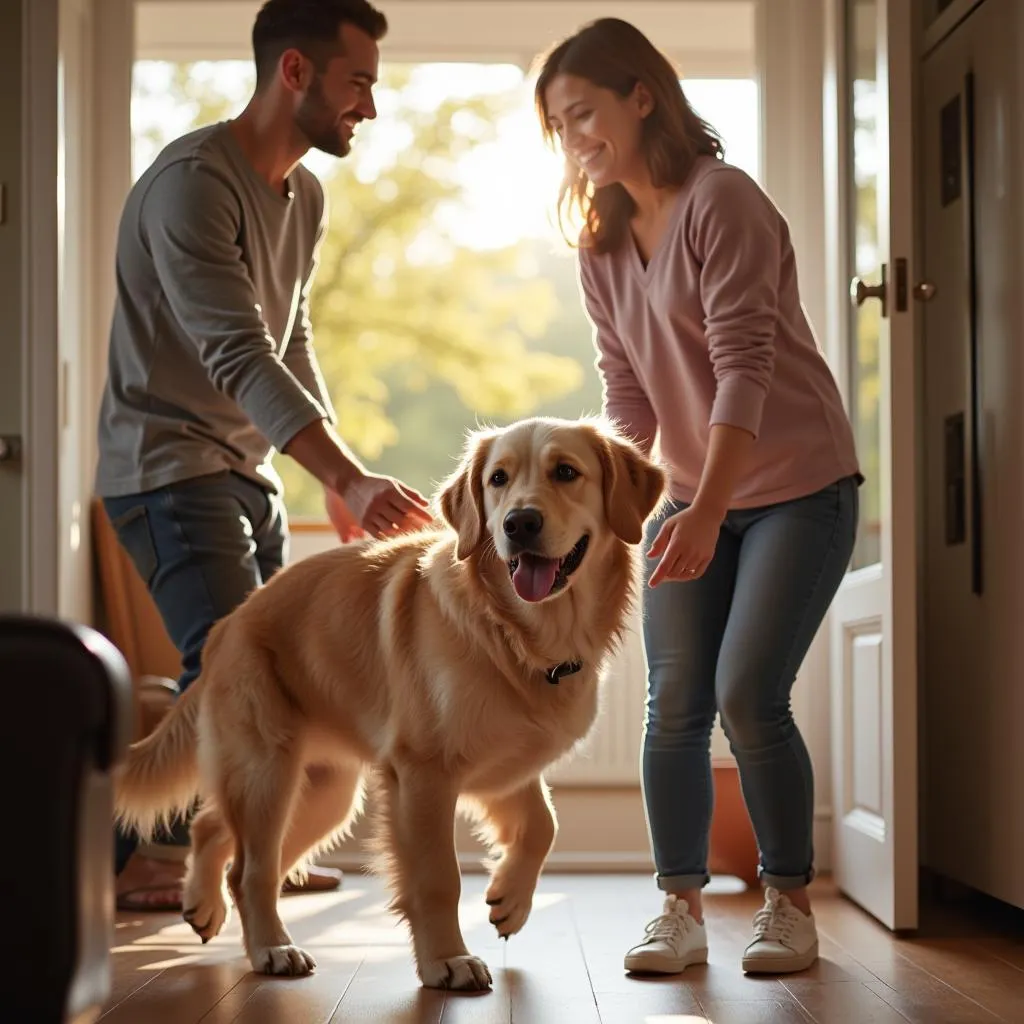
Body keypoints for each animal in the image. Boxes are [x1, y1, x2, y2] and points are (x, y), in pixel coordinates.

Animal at [116, 415, 663, 991]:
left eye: (566, 472)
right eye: (499, 479)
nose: (519, 523)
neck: (515, 634)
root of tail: (228, 625)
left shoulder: (508, 761)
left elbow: (544, 825)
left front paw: (509, 899)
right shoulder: (422, 774)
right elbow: (438, 877)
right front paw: (446, 960)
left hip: (320, 793)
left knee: (217, 831)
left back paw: (204, 906)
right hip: (268, 773)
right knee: (251, 870)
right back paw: (272, 948)